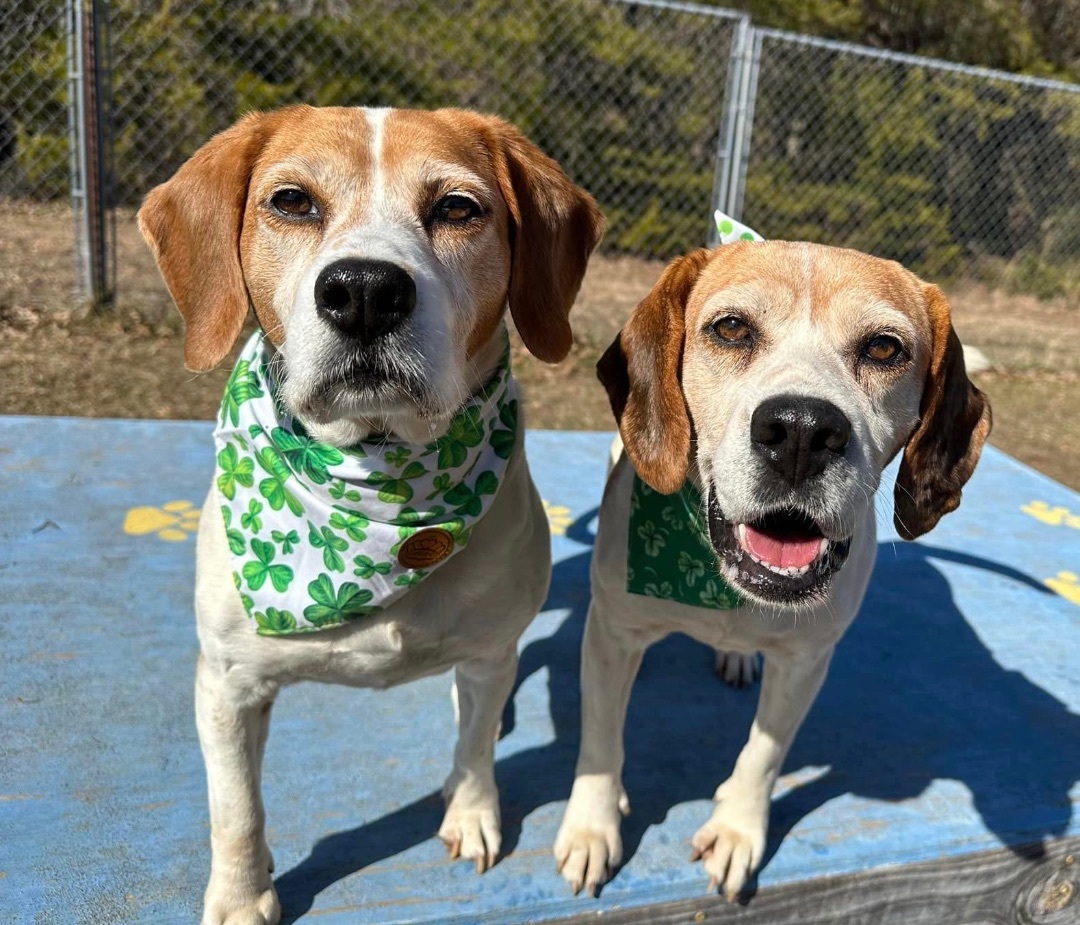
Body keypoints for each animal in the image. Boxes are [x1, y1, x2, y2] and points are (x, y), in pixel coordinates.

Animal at [138, 104, 604, 925]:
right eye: (292, 201)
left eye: (458, 208)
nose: (363, 290)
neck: (382, 488)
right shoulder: (226, 685)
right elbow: (237, 808)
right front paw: (242, 895)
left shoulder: (490, 652)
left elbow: (475, 751)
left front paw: (472, 814)